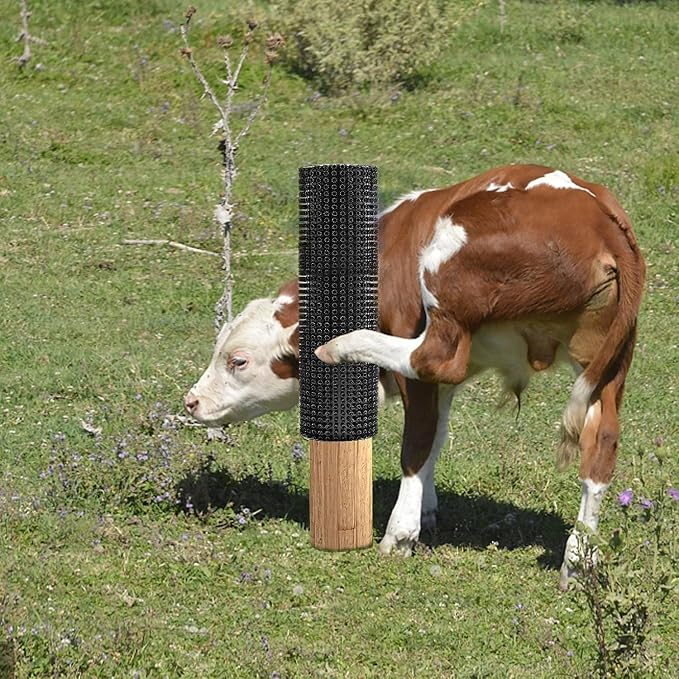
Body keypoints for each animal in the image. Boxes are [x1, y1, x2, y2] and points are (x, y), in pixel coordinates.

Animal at [184, 164, 645, 589]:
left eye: (238, 361)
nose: (192, 401)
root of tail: (600, 218)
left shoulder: (418, 363)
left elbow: (418, 442)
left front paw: (402, 531)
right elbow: (436, 436)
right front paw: (426, 508)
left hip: (445, 266)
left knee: (432, 357)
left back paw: (342, 344)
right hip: (607, 365)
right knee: (601, 441)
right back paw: (578, 559)